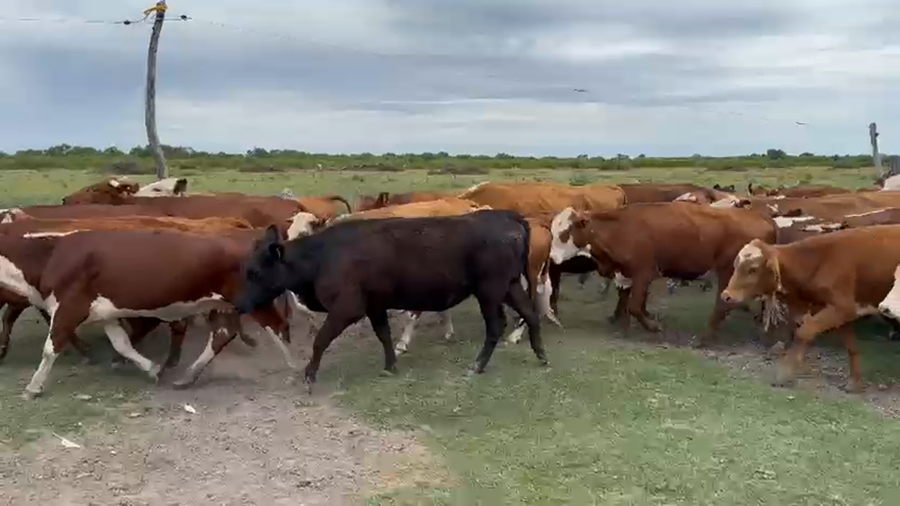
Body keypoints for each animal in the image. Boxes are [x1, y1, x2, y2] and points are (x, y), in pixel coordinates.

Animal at [232, 210, 549, 390]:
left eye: (255, 272)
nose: (239, 304)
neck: (322, 257)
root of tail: (509, 217)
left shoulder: (347, 309)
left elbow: (320, 339)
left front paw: (309, 376)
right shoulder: (375, 306)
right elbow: (383, 334)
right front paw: (390, 365)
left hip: (490, 291)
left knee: (496, 325)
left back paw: (478, 365)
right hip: (510, 286)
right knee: (531, 314)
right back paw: (541, 357)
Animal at [548, 202, 776, 343]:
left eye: (565, 232)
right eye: (552, 231)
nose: (551, 257)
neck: (621, 229)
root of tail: (762, 217)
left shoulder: (644, 273)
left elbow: (634, 306)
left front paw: (653, 327)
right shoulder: (625, 274)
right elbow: (626, 301)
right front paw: (624, 329)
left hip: (728, 272)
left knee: (723, 305)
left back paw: (705, 338)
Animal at [721, 227, 900, 392]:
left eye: (753, 269)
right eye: (735, 266)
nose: (726, 296)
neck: (817, 261)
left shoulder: (842, 308)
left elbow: (805, 331)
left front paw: (784, 374)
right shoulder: (842, 312)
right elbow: (850, 345)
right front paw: (854, 382)